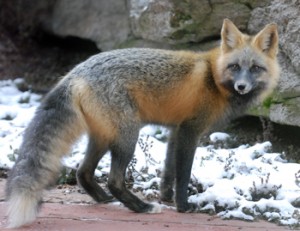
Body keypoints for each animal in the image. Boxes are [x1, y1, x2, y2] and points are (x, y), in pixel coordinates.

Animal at [5, 19, 280, 228]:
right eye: (235, 67)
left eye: (255, 68)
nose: (242, 86)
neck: (213, 78)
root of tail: (76, 72)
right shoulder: (190, 131)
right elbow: (183, 173)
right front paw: (183, 206)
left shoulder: (175, 131)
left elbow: (168, 172)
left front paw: (167, 197)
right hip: (128, 136)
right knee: (114, 180)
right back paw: (141, 207)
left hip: (103, 136)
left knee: (82, 172)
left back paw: (104, 199)